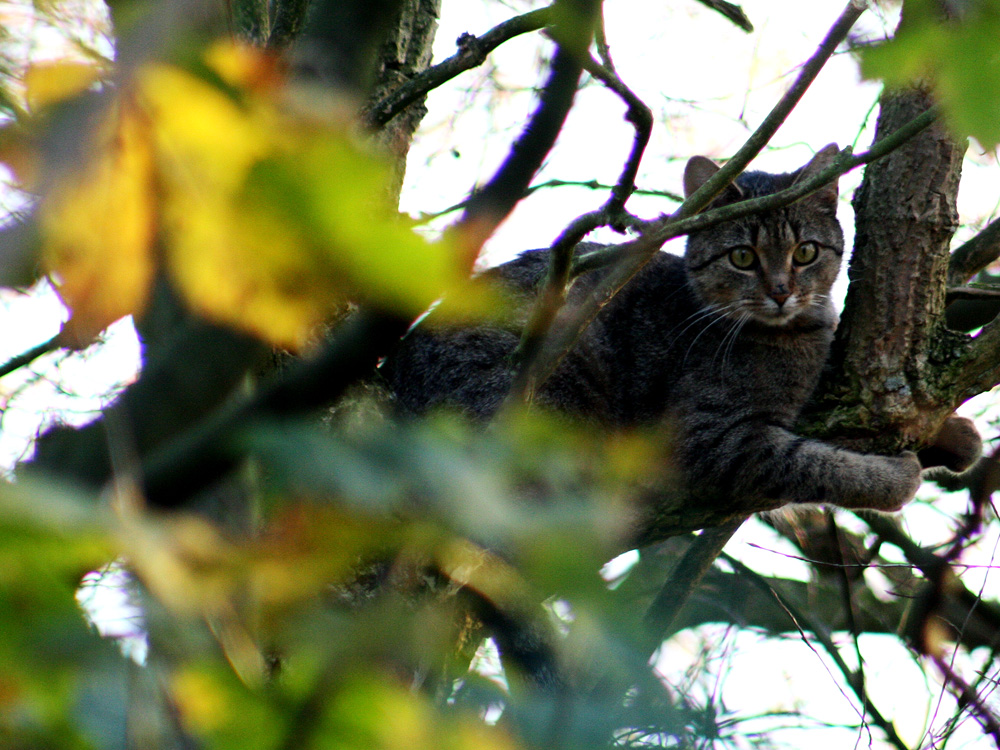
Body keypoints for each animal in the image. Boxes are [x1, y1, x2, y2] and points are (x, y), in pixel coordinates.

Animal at [384, 144, 928, 516]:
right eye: (742, 257)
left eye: (806, 252)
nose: (780, 291)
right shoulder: (716, 438)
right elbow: (815, 466)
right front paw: (897, 478)